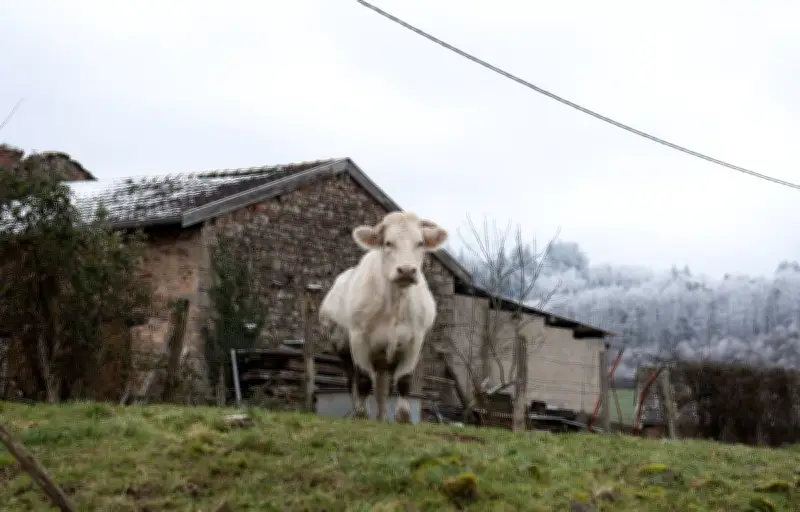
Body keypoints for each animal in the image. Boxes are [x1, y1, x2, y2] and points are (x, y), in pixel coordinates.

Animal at [319, 211, 448, 423]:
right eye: (388, 243)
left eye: (420, 242)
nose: (406, 270)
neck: (394, 304)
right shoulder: (358, 340)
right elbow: (364, 380)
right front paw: (362, 415)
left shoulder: (414, 343)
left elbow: (403, 381)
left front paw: (403, 418)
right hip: (343, 351)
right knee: (353, 383)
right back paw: (356, 410)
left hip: (383, 361)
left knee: (381, 388)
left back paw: (382, 418)